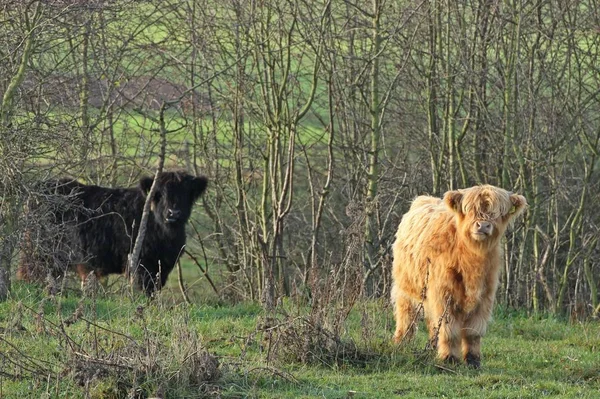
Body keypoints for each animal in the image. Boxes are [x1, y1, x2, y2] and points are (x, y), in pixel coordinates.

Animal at [392, 185, 528, 368]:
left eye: (498, 212)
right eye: (470, 209)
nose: (483, 225)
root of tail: (423, 199)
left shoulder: (485, 296)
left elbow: (473, 332)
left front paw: (473, 360)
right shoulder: (444, 294)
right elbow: (449, 330)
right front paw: (449, 358)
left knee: (432, 322)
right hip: (405, 289)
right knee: (406, 318)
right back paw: (401, 344)